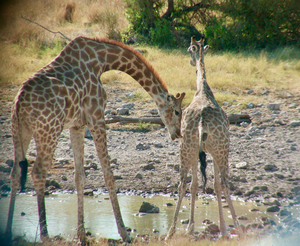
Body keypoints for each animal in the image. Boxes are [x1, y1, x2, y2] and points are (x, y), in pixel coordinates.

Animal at [5, 35, 185, 243]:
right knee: (38, 172)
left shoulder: (77, 125)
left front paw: (82, 235)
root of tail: (19, 102)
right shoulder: (97, 117)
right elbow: (108, 174)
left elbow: (80, 176)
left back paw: (8, 232)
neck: (102, 61)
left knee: (16, 172)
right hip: (49, 131)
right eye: (177, 111)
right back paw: (45, 236)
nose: (178, 133)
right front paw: (124, 233)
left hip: (20, 131)